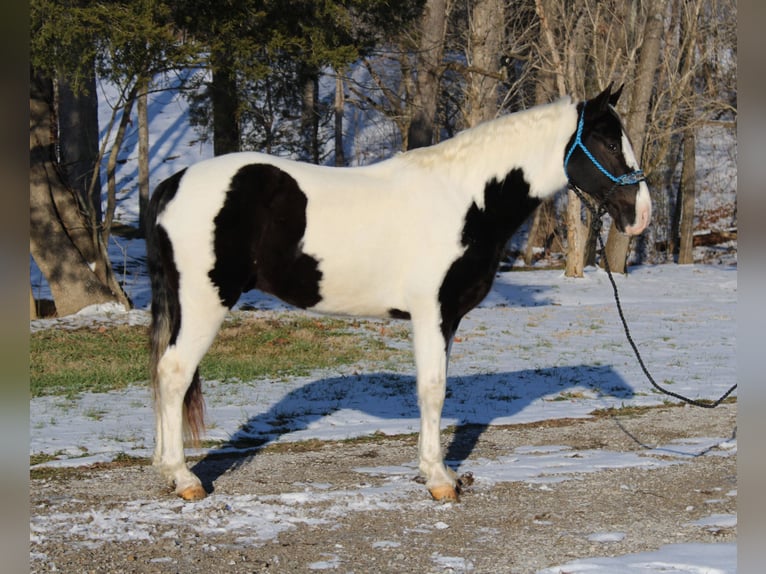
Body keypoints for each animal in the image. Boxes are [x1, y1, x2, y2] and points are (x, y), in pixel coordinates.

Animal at [146, 83, 656, 502]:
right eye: (609, 142)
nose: (642, 214)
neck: (466, 199)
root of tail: (173, 184)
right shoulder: (432, 313)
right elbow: (432, 389)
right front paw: (439, 480)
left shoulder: (447, 319)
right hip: (204, 303)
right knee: (173, 373)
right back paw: (185, 478)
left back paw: (166, 471)